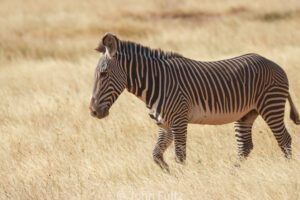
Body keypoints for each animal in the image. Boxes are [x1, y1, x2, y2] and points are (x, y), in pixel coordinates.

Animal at [89, 32, 300, 172]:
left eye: (103, 74)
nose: (92, 111)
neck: (157, 82)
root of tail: (275, 64)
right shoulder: (164, 124)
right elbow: (156, 155)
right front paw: (169, 173)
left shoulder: (179, 121)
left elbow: (180, 156)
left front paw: (182, 178)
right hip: (246, 114)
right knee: (245, 146)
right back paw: (232, 173)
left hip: (270, 105)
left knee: (284, 139)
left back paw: (287, 168)